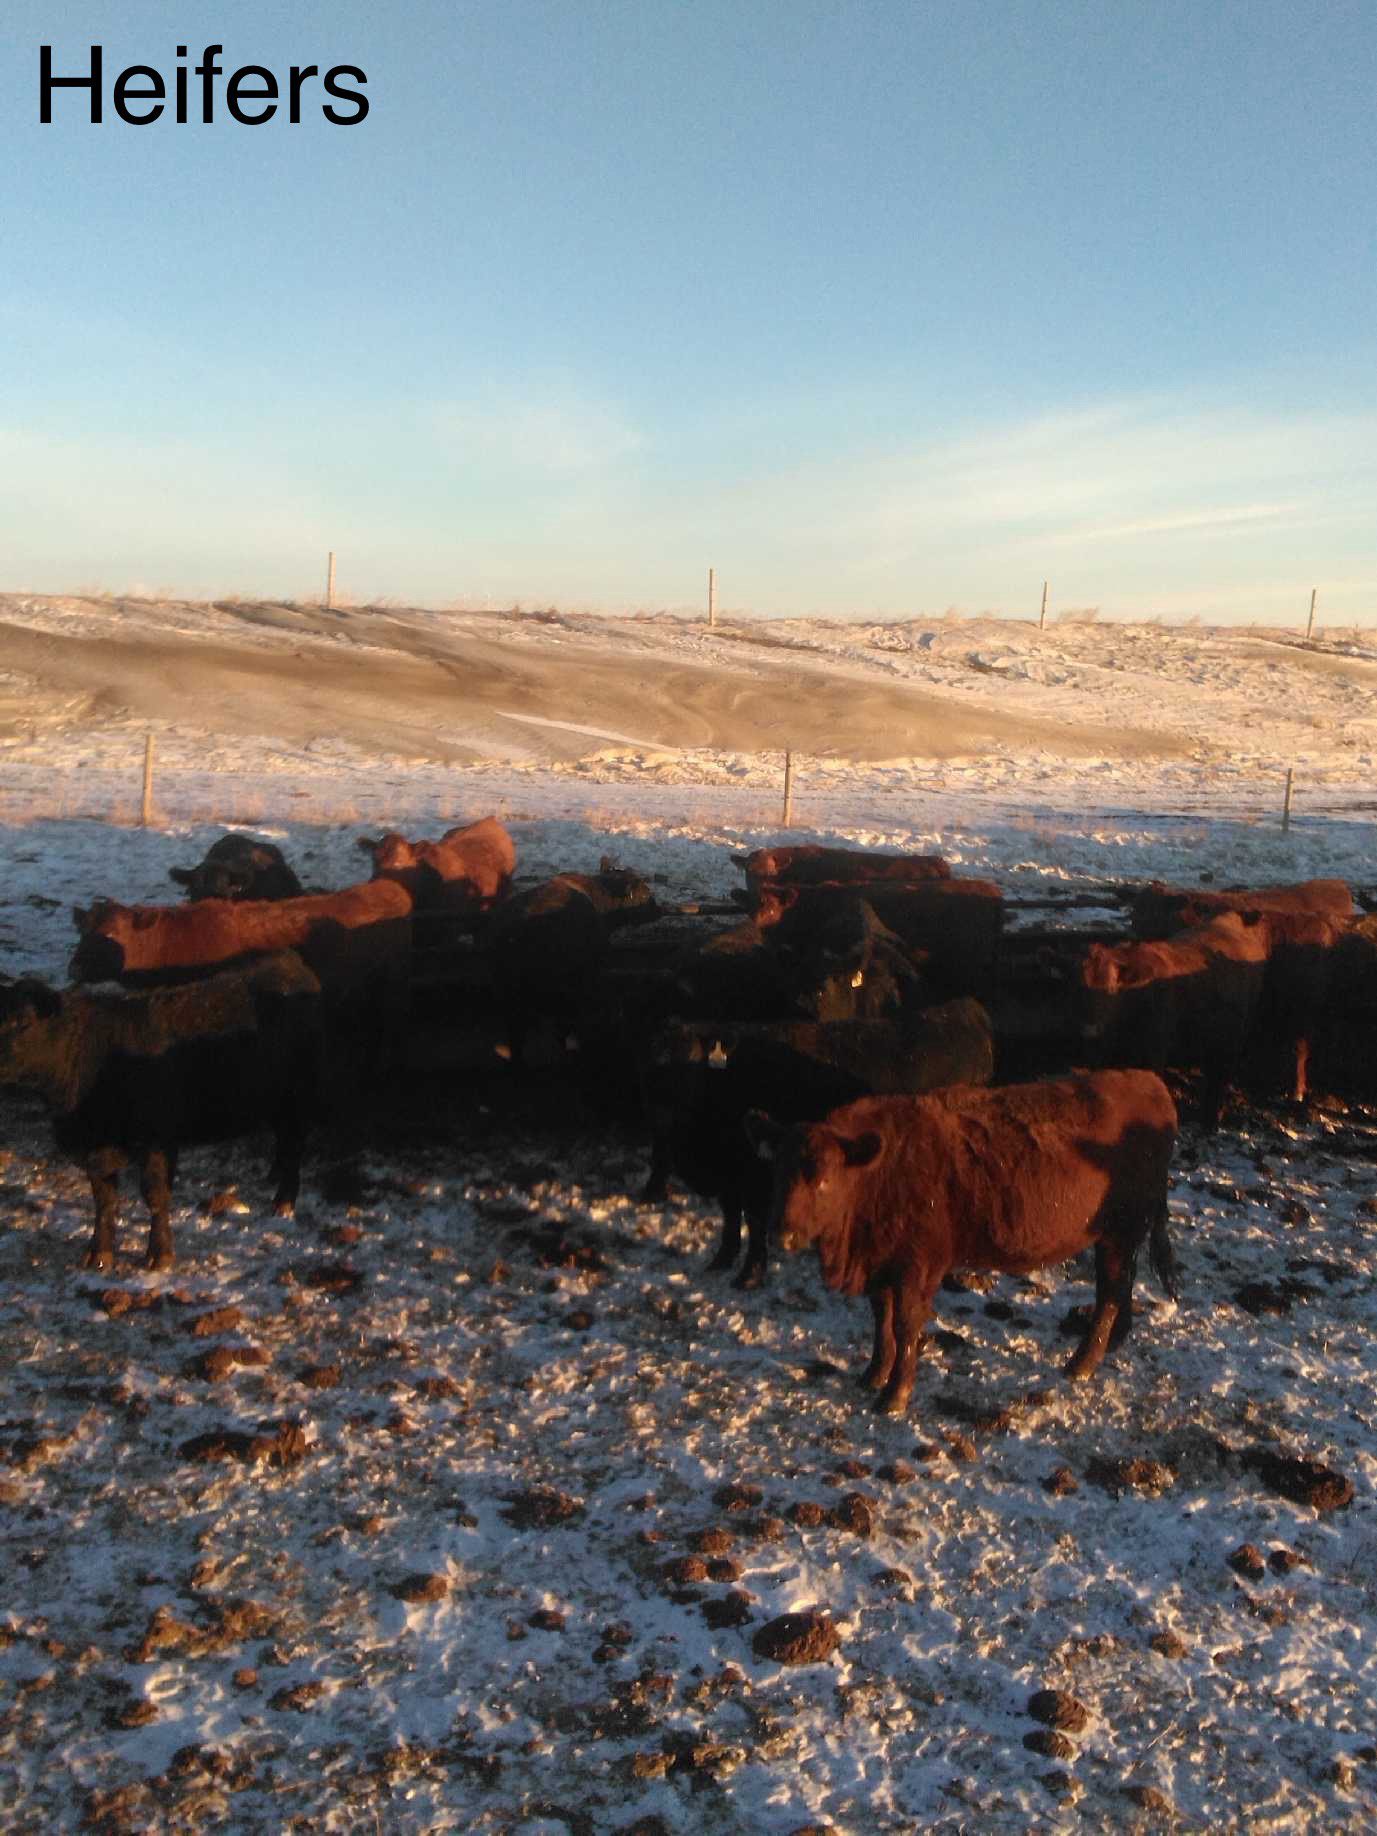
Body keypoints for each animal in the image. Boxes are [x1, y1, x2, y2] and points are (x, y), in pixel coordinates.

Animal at [0, 954, 322, 1272]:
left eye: (24, 1022)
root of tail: (290, 964)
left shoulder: (157, 1140)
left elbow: (155, 1195)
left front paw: (159, 1254)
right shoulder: (95, 1149)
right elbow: (104, 1201)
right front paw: (98, 1253)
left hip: (298, 1096)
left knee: (295, 1145)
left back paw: (283, 1203)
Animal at [642, 1001, 995, 1285]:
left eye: (691, 1063)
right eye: (649, 1065)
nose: (662, 1113)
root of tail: (965, 1010)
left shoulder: (756, 1173)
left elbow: (754, 1224)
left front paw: (749, 1276)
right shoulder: (731, 1175)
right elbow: (730, 1218)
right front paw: (722, 1260)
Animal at [746, 1069, 1178, 1416]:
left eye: (824, 1179)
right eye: (778, 1172)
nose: (782, 1233)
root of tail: (1150, 1083)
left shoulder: (916, 1268)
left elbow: (905, 1325)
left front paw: (895, 1396)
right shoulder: (881, 1265)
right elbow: (881, 1319)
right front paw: (873, 1374)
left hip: (1119, 1234)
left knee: (1109, 1293)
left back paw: (1081, 1363)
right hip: (1118, 1237)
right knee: (1121, 1285)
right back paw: (1114, 1342)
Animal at [1080, 911, 1268, 1127]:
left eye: (1112, 988)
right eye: (1078, 986)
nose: (1089, 1030)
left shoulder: (1153, 1052)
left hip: (1231, 1043)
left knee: (1218, 1081)